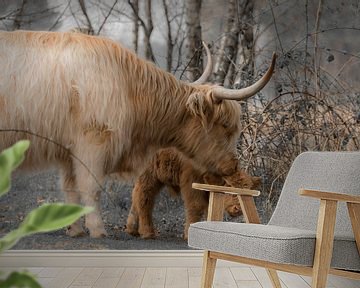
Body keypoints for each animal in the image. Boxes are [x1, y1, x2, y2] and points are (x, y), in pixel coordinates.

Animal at [125, 148, 260, 238]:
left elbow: (208, 208)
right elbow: (196, 207)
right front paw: (189, 233)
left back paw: (132, 229)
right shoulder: (191, 184)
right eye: (232, 191)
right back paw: (148, 232)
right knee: (144, 199)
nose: (239, 209)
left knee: (136, 197)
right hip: (149, 176)